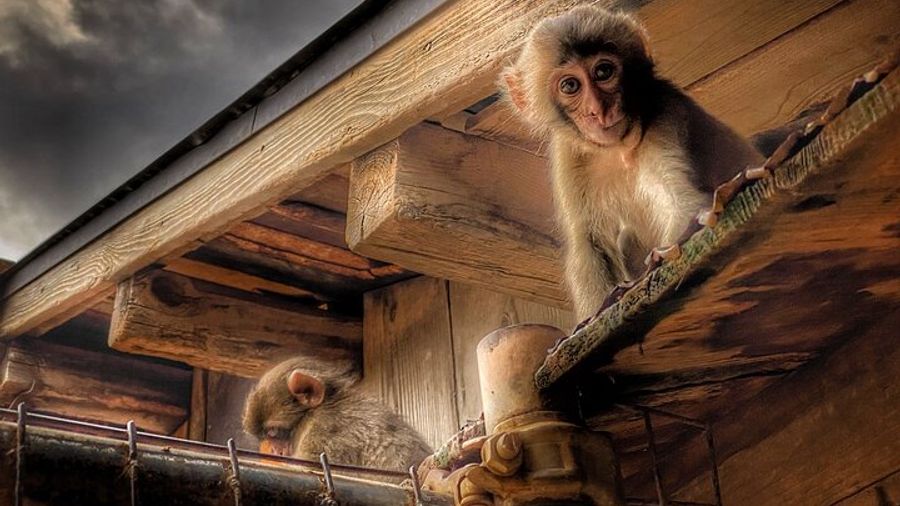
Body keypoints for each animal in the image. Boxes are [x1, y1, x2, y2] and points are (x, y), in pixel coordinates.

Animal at [500, 6, 764, 321]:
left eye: (603, 71)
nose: (598, 110)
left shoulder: (664, 112)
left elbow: (682, 204)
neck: (617, 149)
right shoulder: (567, 153)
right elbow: (590, 244)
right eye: (570, 85)